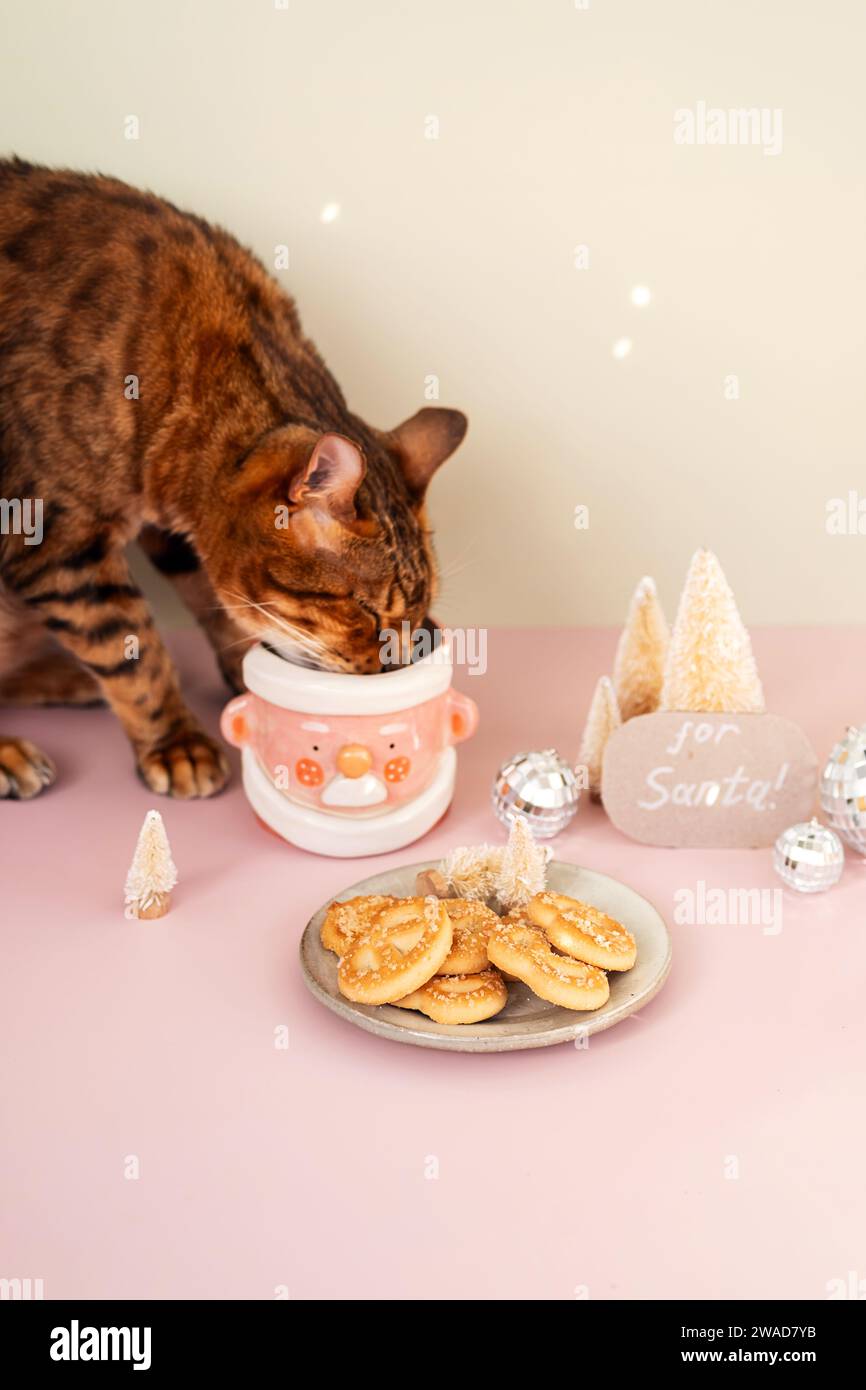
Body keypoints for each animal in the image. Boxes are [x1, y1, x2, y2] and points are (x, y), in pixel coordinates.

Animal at [0, 157, 467, 800]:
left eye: (414, 618)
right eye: (366, 613)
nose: (390, 669)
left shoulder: (174, 531)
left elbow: (212, 600)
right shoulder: (57, 542)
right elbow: (132, 647)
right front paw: (177, 743)